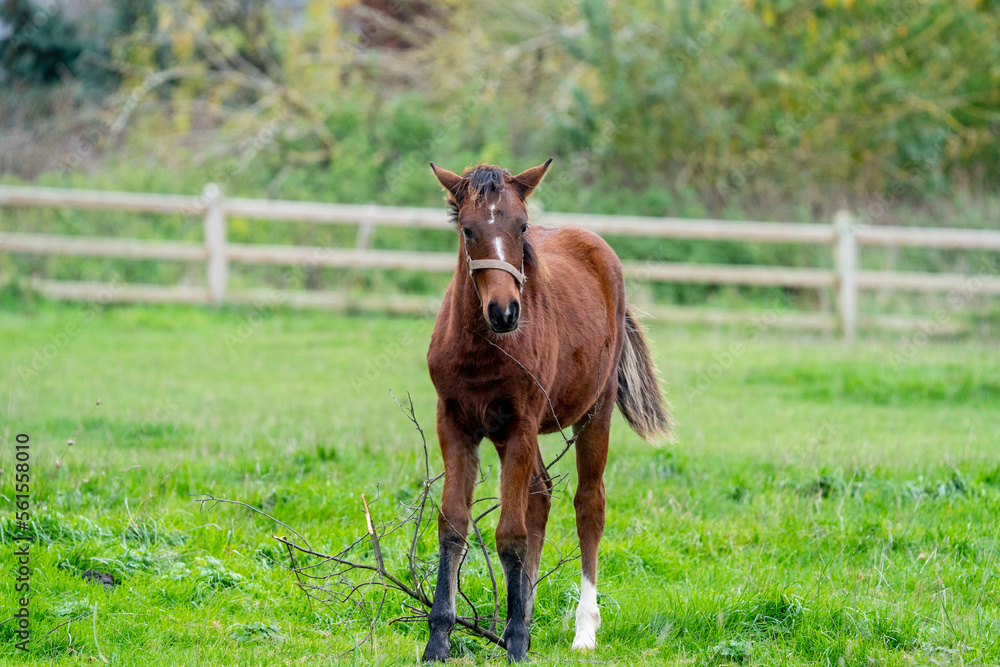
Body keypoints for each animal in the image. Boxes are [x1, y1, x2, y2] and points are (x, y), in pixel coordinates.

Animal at [422, 159, 672, 662]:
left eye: (521, 227)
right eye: (467, 230)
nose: (504, 311)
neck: (484, 350)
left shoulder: (520, 425)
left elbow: (510, 533)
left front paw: (516, 644)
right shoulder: (455, 424)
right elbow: (453, 523)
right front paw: (439, 638)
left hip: (594, 412)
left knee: (588, 505)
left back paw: (583, 630)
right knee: (541, 492)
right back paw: (524, 616)